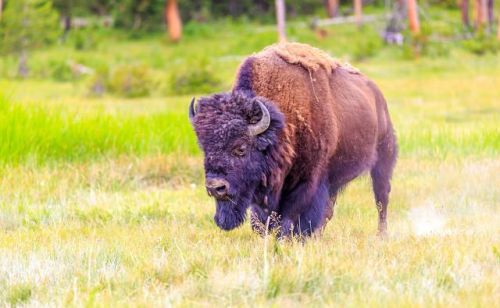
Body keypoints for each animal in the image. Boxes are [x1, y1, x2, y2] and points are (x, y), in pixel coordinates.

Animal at [189, 42, 396, 237]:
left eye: (241, 148)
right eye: (204, 148)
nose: (215, 188)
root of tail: (377, 95)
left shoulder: (307, 183)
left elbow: (294, 218)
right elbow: (261, 221)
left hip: (383, 160)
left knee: (381, 199)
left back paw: (381, 235)